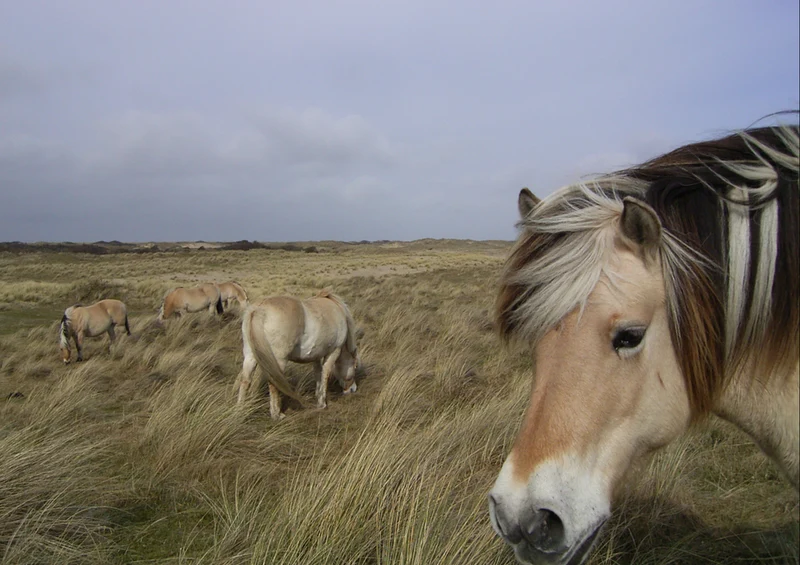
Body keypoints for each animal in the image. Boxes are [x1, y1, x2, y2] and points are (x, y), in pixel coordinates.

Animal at [236, 290, 360, 420]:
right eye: (355, 366)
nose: (353, 388)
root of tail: (259, 310)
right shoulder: (333, 352)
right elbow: (325, 374)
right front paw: (322, 403)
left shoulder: (316, 355)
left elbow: (318, 373)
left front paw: (318, 395)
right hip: (278, 360)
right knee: (273, 383)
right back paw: (276, 415)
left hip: (249, 356)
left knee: (245, 381)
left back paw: (240, 409)